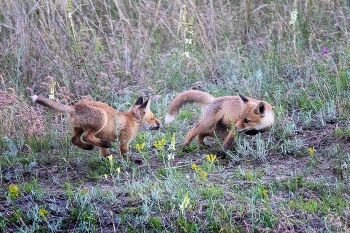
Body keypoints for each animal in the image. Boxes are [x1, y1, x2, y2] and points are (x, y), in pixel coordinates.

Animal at [30, 93, 161, 163]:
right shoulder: (124, 141)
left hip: (79, 129)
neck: (131, 120)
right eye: (153, 118)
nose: (160, 124)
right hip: (100, 120)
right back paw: (102, 144)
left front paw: (108, 160)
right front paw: (134, 161)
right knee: (86, 137)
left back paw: (88, 147)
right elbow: (125, 154)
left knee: (74, 139)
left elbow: (104, 154)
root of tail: (75, 107)